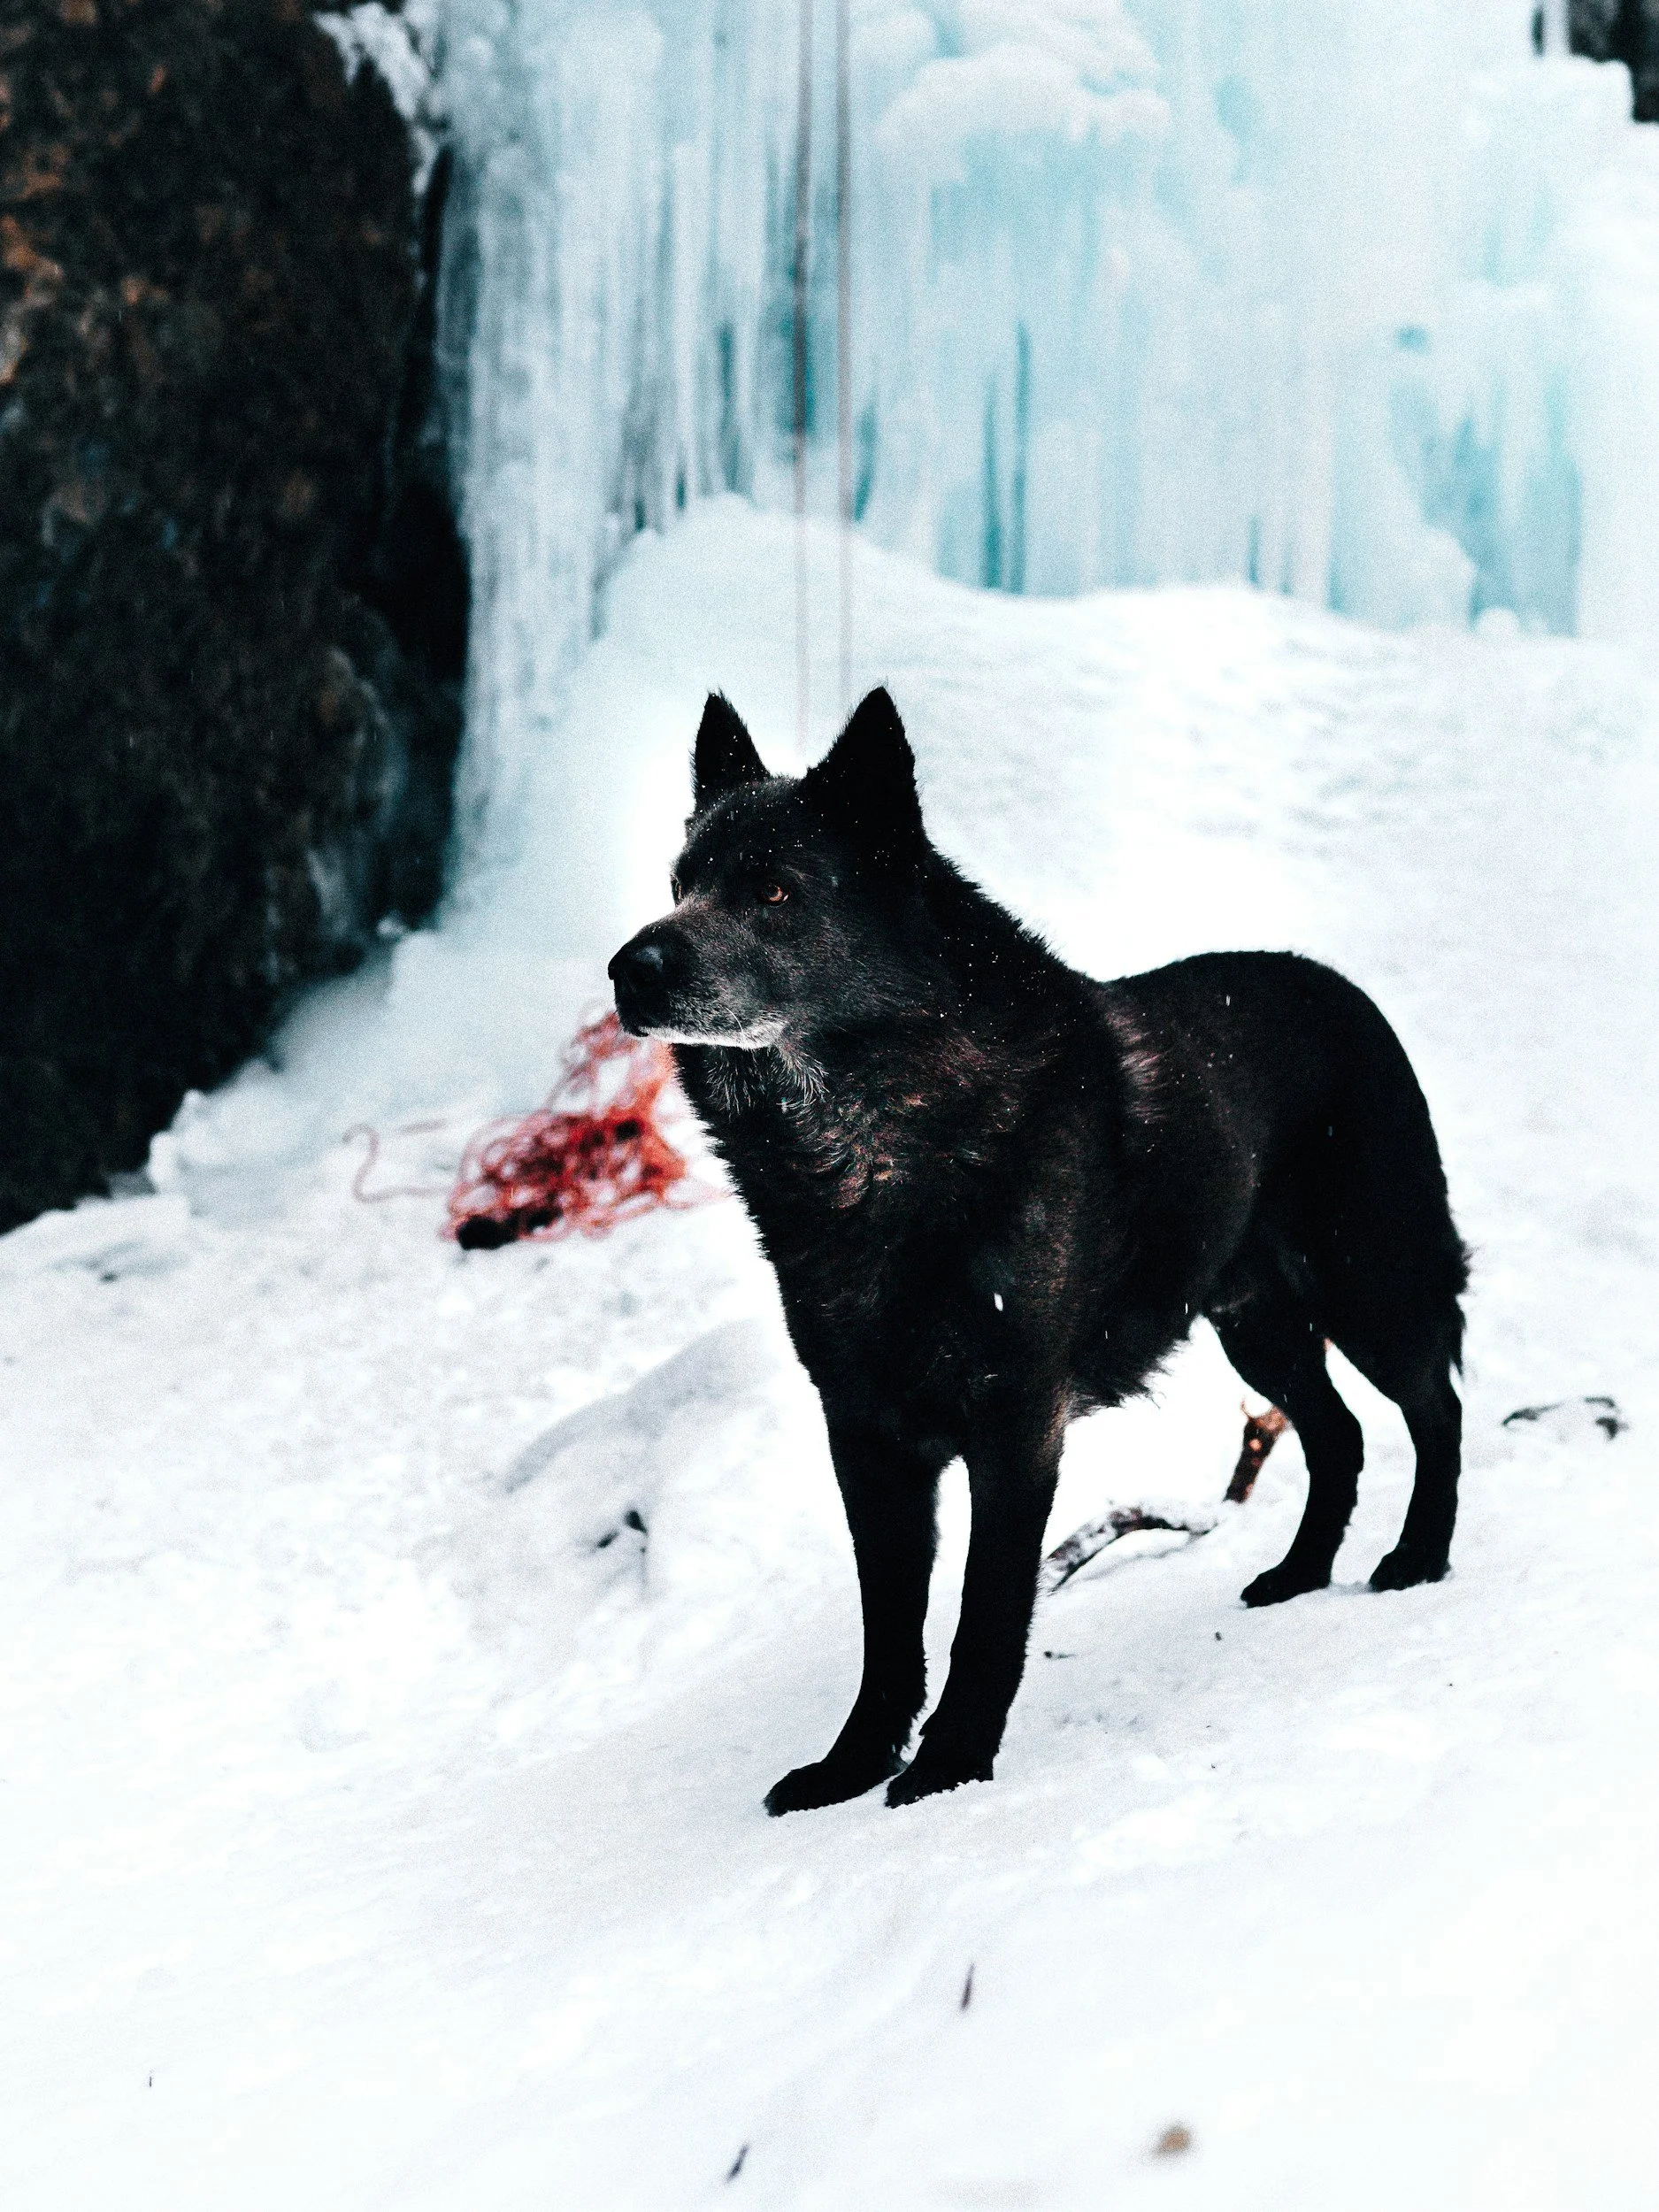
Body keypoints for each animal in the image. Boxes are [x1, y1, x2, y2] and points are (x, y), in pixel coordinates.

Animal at [609, 689, 1467, 1813]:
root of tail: (1343, 992)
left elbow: (984, 1614)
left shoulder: (1015, 1426)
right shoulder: (868, 1438)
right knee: (1341, 1433)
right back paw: (1299, 1573)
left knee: (1434, 1408)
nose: (628, 969)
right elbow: (889, 1629)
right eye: (681, 885)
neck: (872, 1140)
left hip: (1375, 1289)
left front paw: (952, 1763)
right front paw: (854, 1763)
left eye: (774, 889)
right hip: (1257, 1324)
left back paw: (1419, 1556)